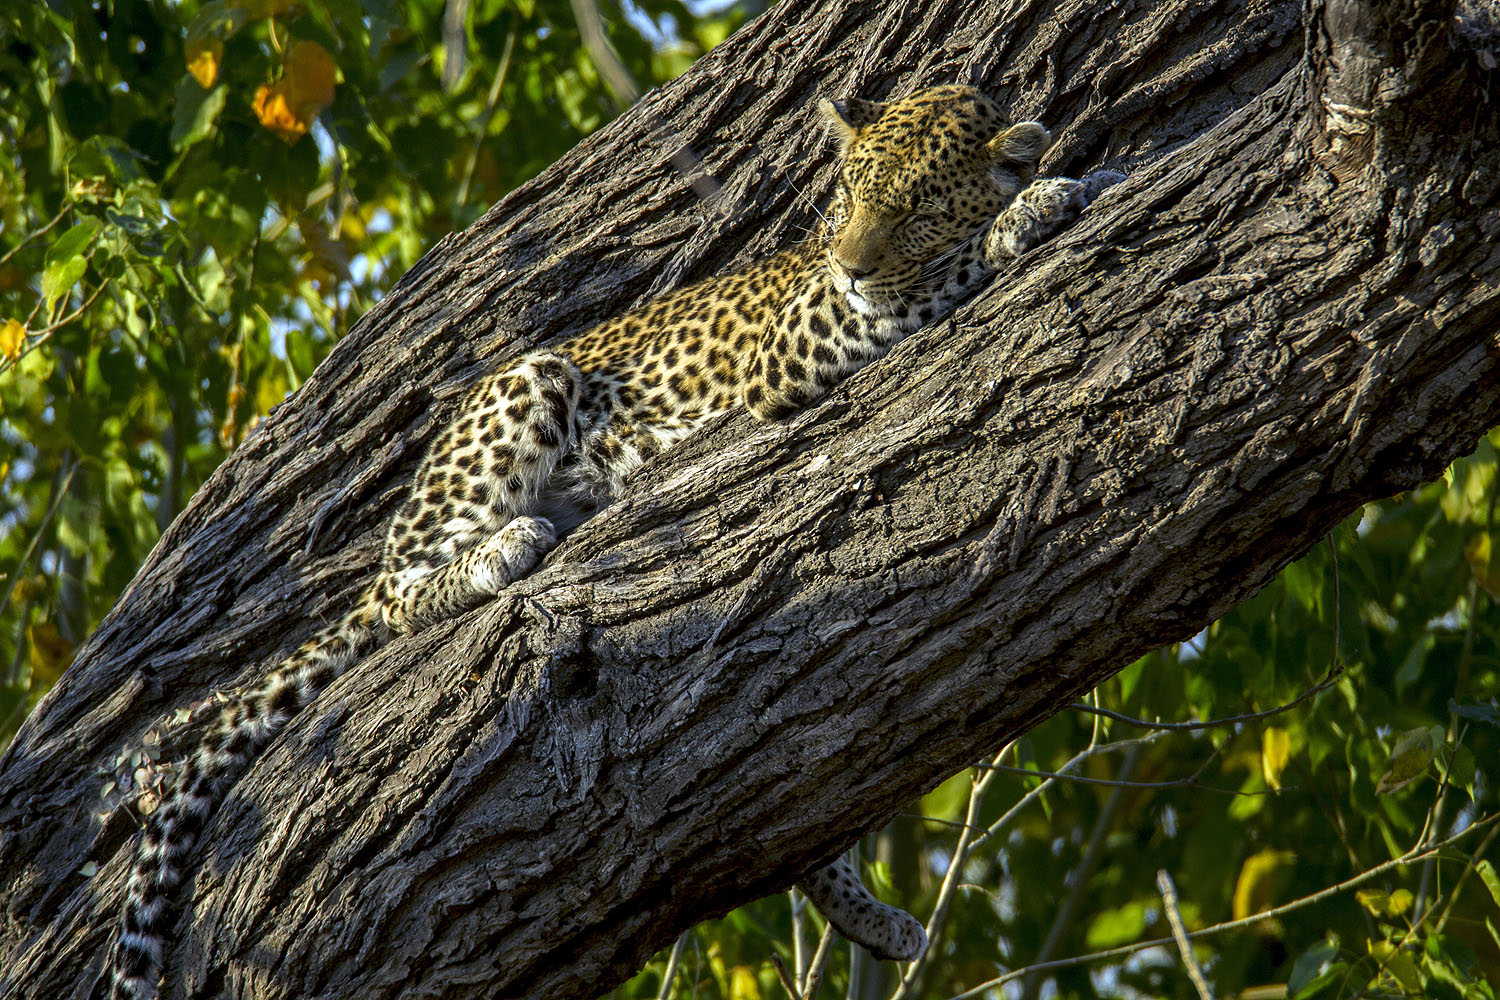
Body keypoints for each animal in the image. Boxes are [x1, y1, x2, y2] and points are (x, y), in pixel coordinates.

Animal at [108, 83, 1124, 1000]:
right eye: (848, 198)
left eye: (913, 210)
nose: (850, 264)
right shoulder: (804, 340)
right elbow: (946, 274)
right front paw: (1038, 205)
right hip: (526, 380)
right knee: (397, 593)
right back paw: (501, 549)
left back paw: (869, 915)